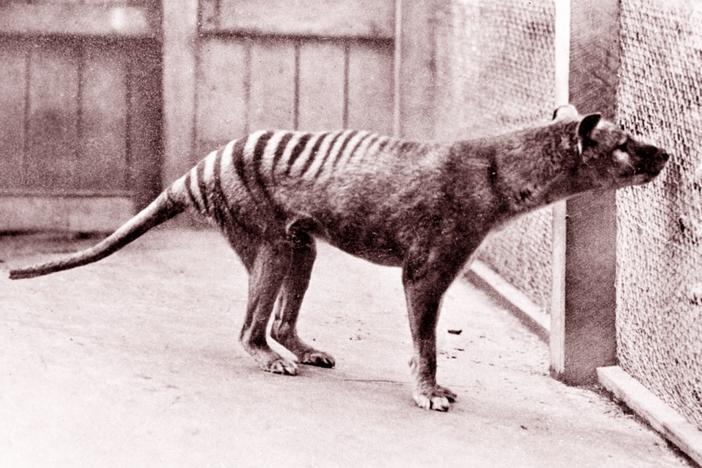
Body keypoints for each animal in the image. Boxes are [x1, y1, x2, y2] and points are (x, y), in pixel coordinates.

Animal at [9, 105, 672, 410]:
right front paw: (428, 391)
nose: (665, 154)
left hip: (301, 244)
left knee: (280, 317)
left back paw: (300, 348)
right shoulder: (426, 271)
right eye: (624, 144)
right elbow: (426, 342)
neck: (497, 171)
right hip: (270, 242)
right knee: (250, 327)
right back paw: (271, 359)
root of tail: (199, 169)